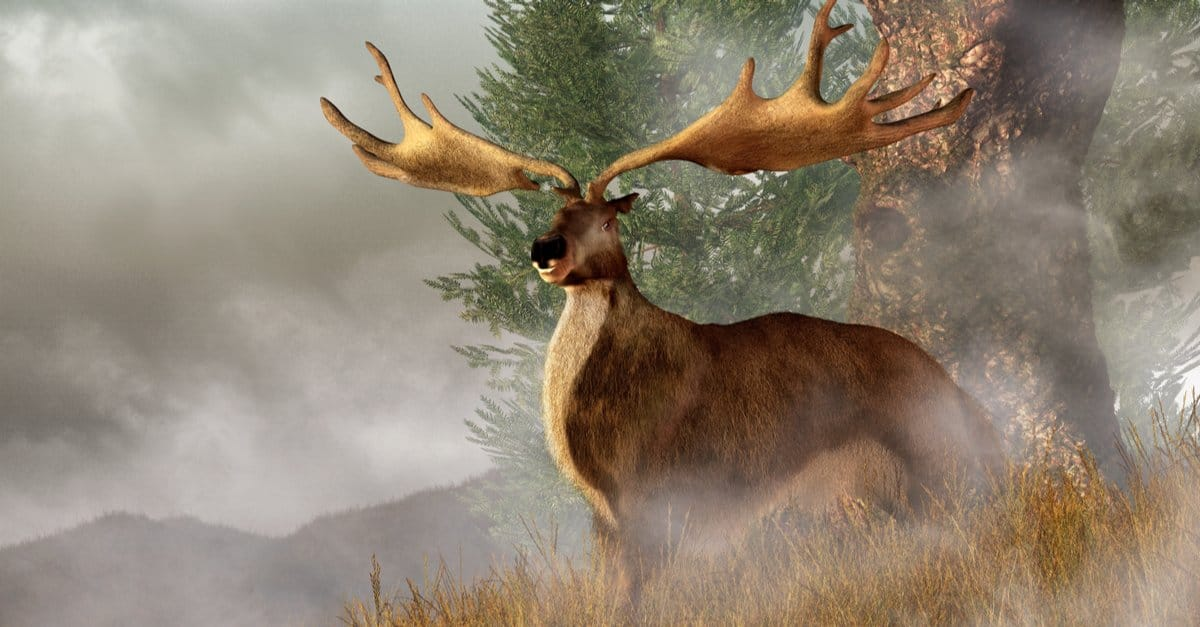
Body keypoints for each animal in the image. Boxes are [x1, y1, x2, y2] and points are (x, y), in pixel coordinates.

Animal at [321, 0, 1003, 606]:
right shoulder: (606, 514)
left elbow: (636, 594)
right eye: (554, 215)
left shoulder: (654, 492)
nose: (543, 248)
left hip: (899, 473)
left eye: (606, 221)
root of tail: (969, 405)